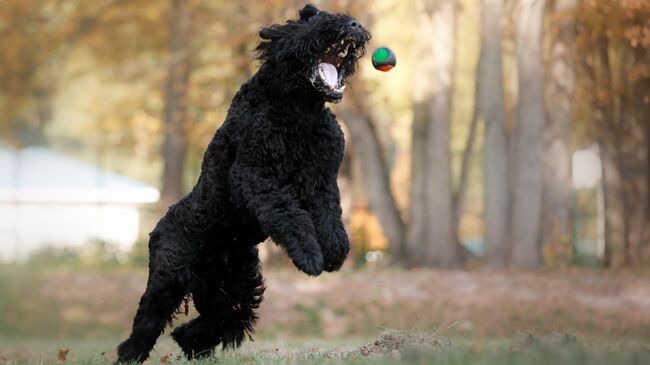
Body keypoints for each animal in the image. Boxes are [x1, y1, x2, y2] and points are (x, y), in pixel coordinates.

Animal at [116, 4, 370, 362]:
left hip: (236, 286)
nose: (354, 24)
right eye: (313, 18)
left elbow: (330, 219)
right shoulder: (255, 177)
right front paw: (309, 256)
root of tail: (157, 228)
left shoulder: (323, 182)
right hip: (169, 279)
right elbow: (291, 216)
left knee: (219, 319)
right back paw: (131, 354)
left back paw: (191, 343)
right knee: (147, 324)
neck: (299, 110)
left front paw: (334, 251)